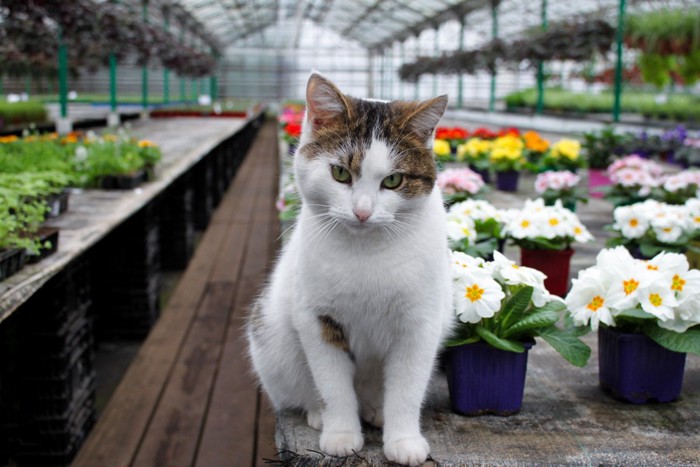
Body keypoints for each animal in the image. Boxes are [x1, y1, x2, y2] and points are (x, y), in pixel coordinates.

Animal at [247, 71, 454, 466]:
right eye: (340, 172)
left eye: (393, 180)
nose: (362, 211)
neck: (367, 250)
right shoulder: (318, 318)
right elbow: (333, 385)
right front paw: (341, 434)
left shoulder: (420, 322)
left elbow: (407, 387)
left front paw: (403, 440)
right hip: (272, 341)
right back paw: (319, 414)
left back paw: (376, 411)